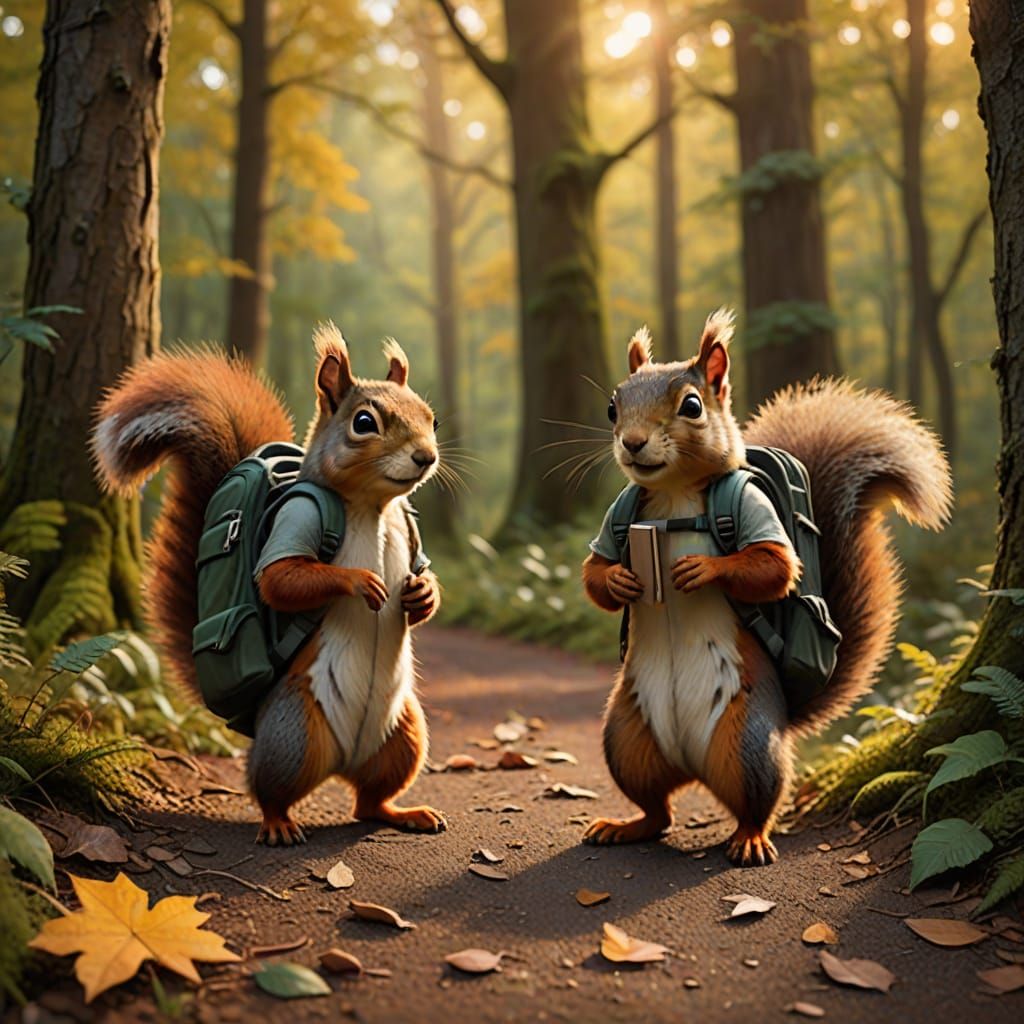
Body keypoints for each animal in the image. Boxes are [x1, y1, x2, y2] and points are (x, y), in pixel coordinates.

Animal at [92, 325, 446, 845]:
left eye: (431, 417)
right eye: (364, 422)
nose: (427, 457)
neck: (375, 509)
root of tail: (341, 763)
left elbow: (423, 582)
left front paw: (421, 593)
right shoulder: (299, 516)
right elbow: (280, 581)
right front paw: (360, 581)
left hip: (403, 736)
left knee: (369, 801)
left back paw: (403, 813)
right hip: (293, 733)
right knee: (270, 788)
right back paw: (278, 823)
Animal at [581, 310, 952, 866]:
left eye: (692, 406)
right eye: (612, 407)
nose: (633, 443)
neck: (672, 497)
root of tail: (693, 766)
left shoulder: (754, 512)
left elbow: (775, 567)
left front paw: (702, 569)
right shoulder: (615, 523)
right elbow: (594, 571)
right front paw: (622, 580)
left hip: (747, 742)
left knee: (754, 802)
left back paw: (751, 839)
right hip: (626, 738)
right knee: (657, 810)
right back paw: (626, 825)